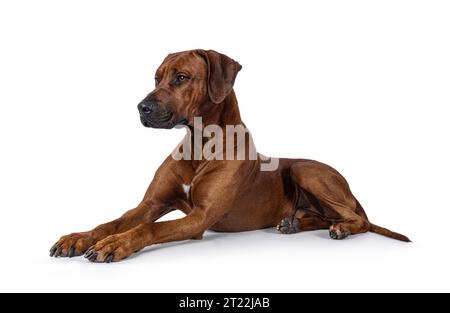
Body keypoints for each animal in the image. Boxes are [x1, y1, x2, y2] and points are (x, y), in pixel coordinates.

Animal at [50, 50, 412, 262]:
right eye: (156, 77)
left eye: (181, 77)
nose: (142, 107)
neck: (198, 143)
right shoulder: (150, 204)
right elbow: (112, 222)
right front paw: (78, 238)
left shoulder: (200, 218)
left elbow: (149, 230)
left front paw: (115, 244)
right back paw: (294, 223)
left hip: (307, 171)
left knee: (358, 219)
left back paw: (340, 228)